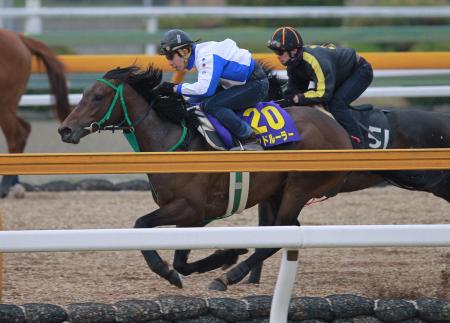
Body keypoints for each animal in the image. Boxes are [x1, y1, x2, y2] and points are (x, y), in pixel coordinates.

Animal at [57, 65, 352, 292]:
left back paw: (228, 277)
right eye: (84, 95)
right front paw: (226, 254)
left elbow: (141, 225)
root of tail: (340, 131)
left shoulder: (190, 208)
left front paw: (167, 270)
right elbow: (181, 262)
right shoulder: (195, 216)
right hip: (275, 192)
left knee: (281, 232)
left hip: (299, 188)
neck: (173, 143)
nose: (65, 130)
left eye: (98, 97)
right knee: (279, 232)